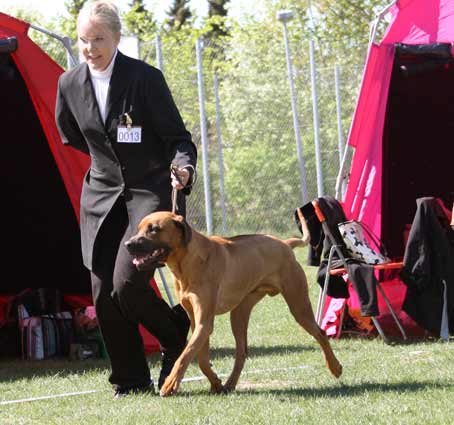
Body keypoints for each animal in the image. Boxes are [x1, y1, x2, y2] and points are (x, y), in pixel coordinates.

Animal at [126, 210, 342, 396]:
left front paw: (170, 384)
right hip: (239, 311)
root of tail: (284, 243)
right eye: (138, 228)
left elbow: (185, 355)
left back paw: (335, 367)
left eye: (154, 229)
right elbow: (201, 358)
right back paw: (230, 383)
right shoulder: (197, 322)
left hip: (298, 304)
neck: (187, 263)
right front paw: (215, 382)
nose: (127, 244)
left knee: (320, 333)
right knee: (242, 351)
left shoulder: (204, 322)